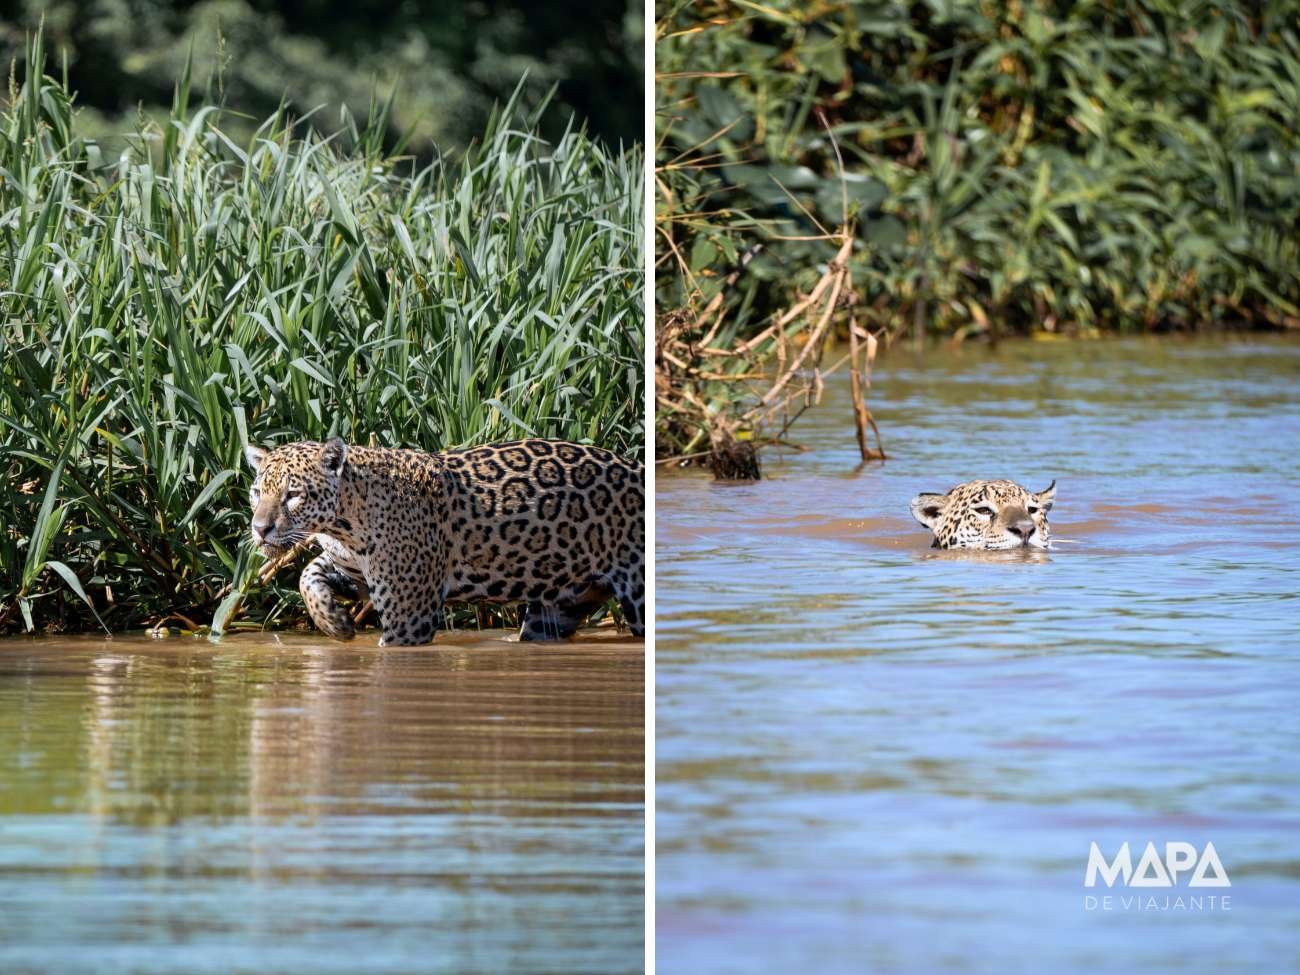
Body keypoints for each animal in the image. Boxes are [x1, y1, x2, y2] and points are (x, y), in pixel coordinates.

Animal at [243, 437, 645, 646]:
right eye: (257, 492)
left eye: (293, 495)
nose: (259, 528)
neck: (345, 521)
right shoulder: (351, 568)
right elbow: (306, 577)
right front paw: (335, 623)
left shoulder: (409, 618)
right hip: (559, 606)